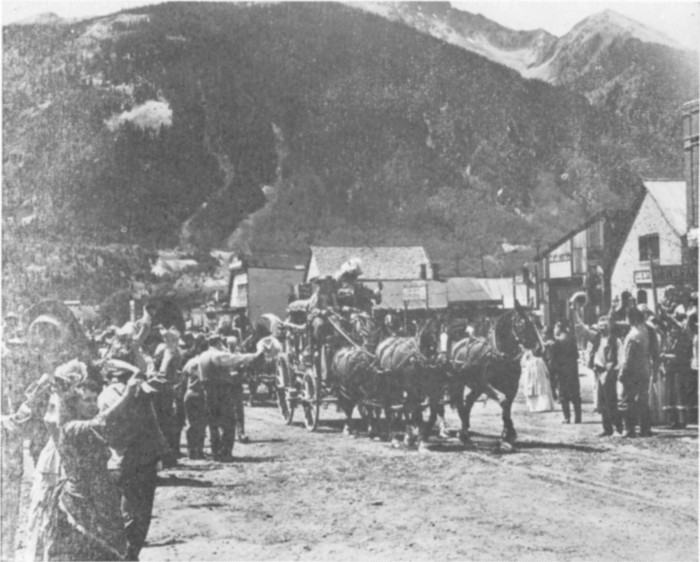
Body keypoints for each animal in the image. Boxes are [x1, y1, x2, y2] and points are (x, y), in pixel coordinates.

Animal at [446, 305, 542, 451]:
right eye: (522, 325)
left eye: (536, 323)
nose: (540, 348)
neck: (499, 356)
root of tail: (458, 344)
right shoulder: (484, 384)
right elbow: (502, 401)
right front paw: (509, 434)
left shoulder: (512, 387)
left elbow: (507, 406)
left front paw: (507, 436)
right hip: (461, 384)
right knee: (460, 404)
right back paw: (463, 434)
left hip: (476, 387)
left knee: (468, 401)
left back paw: (465, 434)